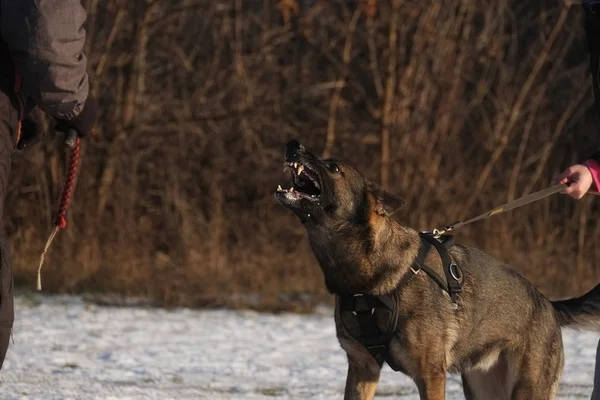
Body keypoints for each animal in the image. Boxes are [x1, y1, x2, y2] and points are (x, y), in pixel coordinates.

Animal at [276, 139, 600, 398]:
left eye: (333, 167)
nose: (293, 143)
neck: (366, 278)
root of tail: (549, 305)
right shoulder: (362, 369)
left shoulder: (430, 374)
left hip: (527, 391)